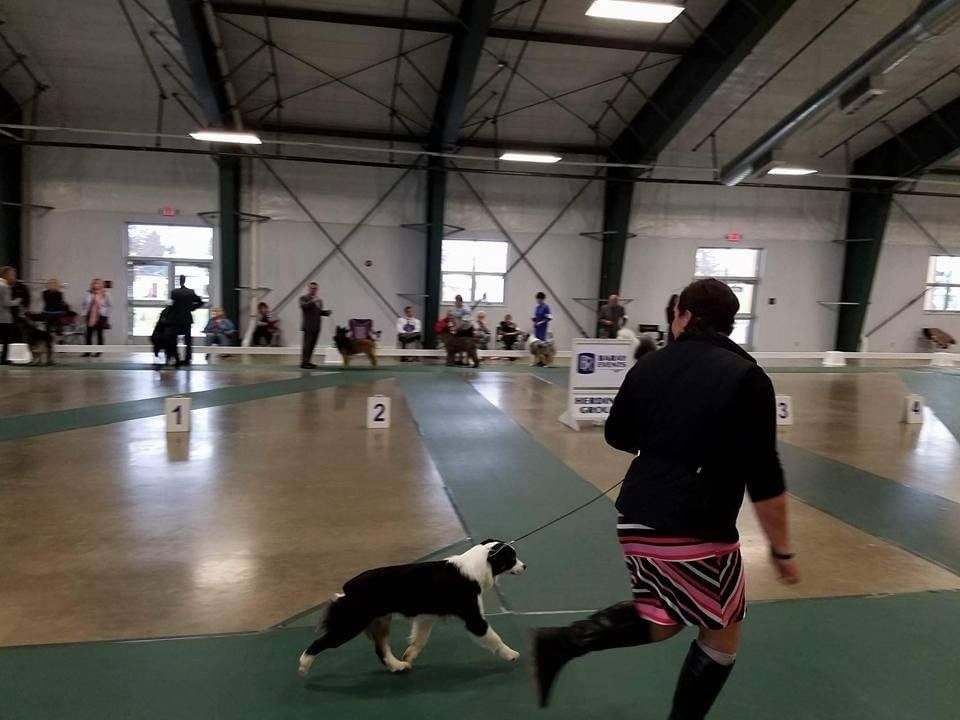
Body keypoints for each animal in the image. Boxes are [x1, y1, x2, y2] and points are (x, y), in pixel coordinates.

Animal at [297, 540, 526, 676]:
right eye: (512, 558)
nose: (525, 566)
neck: (481, 563)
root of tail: (348, 589)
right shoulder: (473, 618)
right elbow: (494, 637)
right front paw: (512, 654)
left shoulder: (426, 617)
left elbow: (420, 639)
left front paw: (409, 655)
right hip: (351, 624)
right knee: (319, 642)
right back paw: (303, 664)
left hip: (380, 621)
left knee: (381, 649)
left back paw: (399, 665)